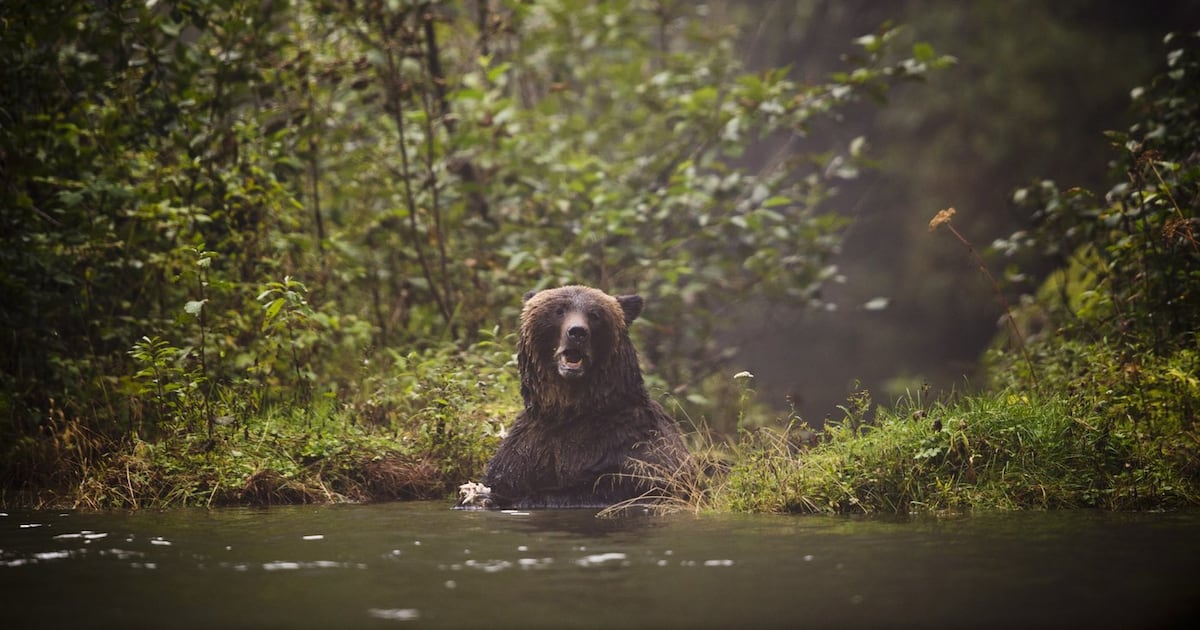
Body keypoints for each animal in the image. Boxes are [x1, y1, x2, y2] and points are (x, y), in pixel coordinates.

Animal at [460, 285, 688, 509]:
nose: (577, 332)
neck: (570, 410)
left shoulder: (631, 446)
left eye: (595, 314)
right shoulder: (526, 447)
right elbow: (504, 476)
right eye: (559, 310)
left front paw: (493, 497)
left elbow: (611, 488)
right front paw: (477, 493)